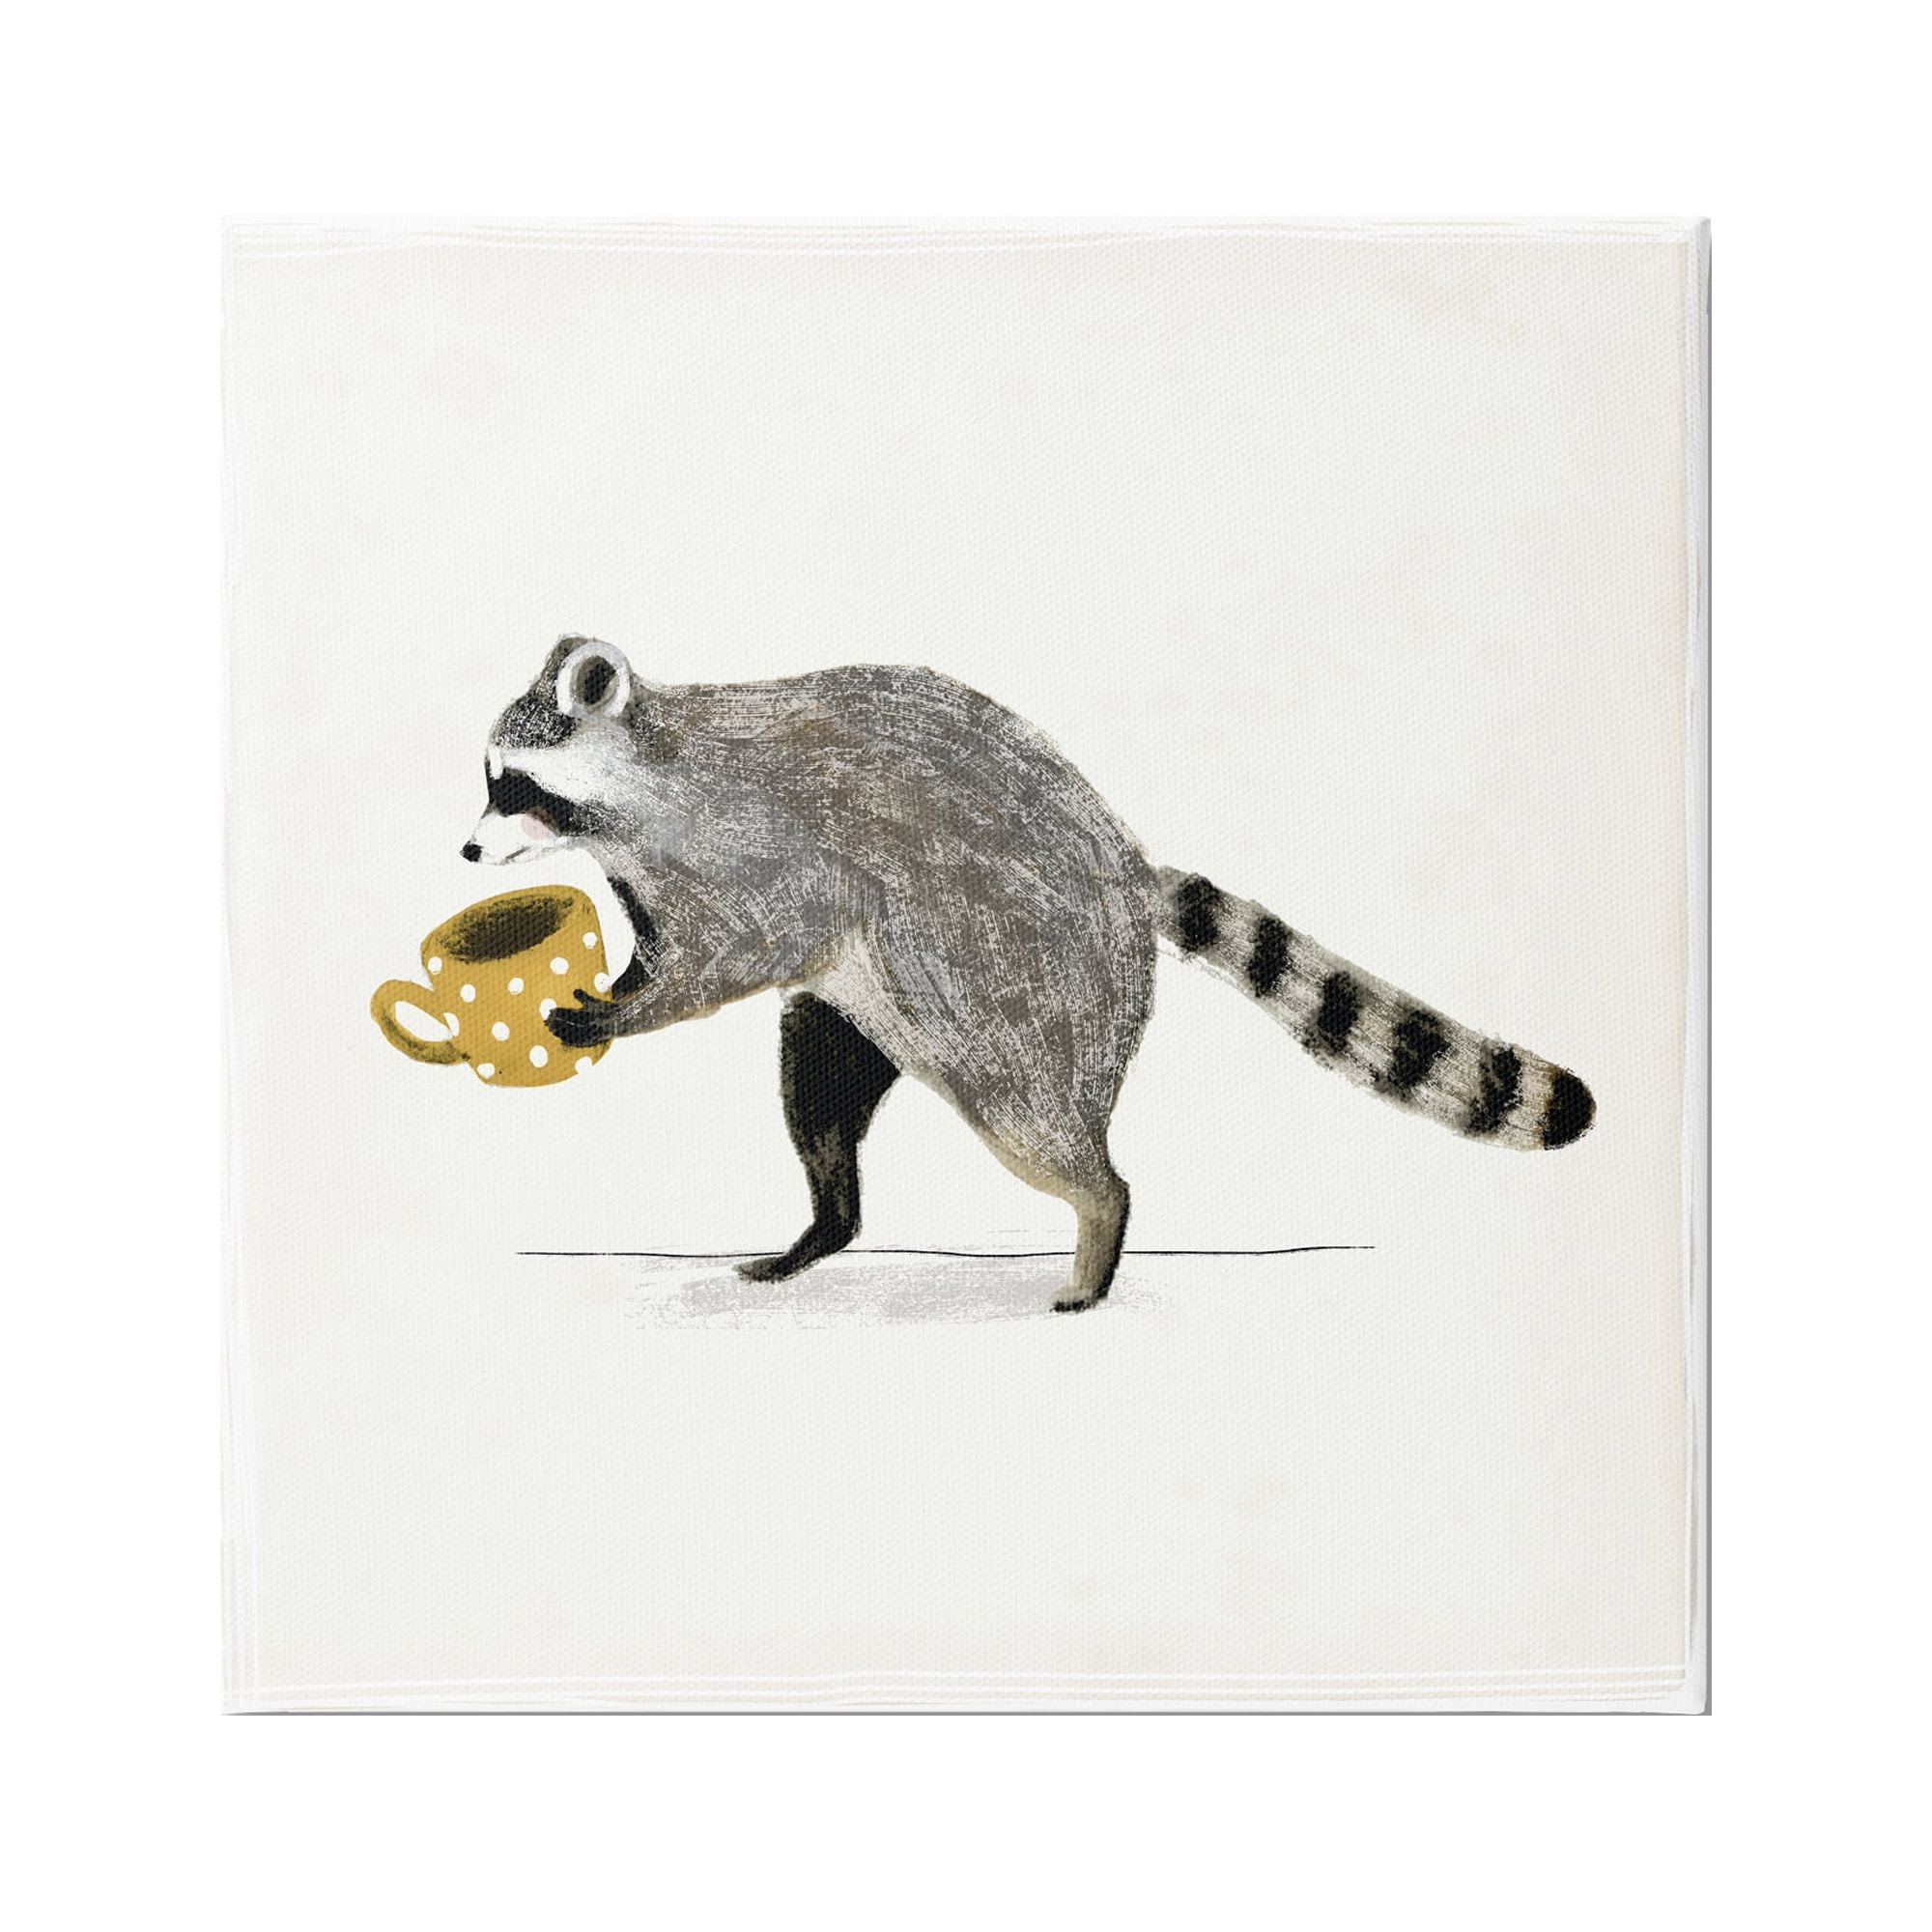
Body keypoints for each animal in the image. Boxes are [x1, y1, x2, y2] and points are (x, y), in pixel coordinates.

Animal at [464, 635, 1594, 1311]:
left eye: (514, 786)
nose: (469, 851)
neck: (643, 781)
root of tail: (1127, 871)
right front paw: (621, 991)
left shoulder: (758, 849)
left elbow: (737, 951)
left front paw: (624, 1012)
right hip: (887, 1000)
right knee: (817, 1083)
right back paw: (828, 1222)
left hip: (1023, 984)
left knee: (1035, 1123)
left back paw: (1099, 1218)